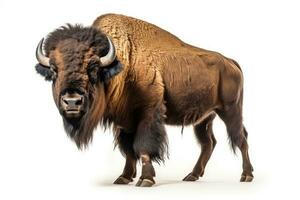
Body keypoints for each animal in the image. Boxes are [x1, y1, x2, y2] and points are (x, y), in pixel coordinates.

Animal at [34, 13, 253, 186]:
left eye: (93, 68)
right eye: (54, 69)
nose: (72, 101)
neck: (122, 64)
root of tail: (231, 63)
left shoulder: (148, 112)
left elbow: (143, 145)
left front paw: (145, 179)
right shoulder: (124, 121)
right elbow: (128, 149)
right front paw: (123, 177)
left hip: (230, 110)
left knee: (240, 138)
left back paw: (246, 175)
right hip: (205, 118)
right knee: (208, 143)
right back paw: (192, 175)